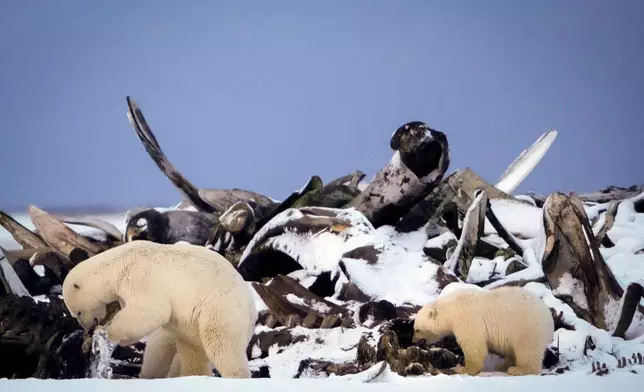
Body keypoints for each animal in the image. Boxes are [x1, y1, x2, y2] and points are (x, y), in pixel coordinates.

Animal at [62, 240, 256, 378]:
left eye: (77, 312)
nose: (88, 329)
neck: (116, 264)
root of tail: (252, 308)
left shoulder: (139, 275)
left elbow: (152, 310)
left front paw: (107, 332)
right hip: (192, 324)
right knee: (192, 350)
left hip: (220, 308)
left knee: (222, 343)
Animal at [412, 284, 552, 376]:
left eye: (417, 330)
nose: (413, 341)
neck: (450, 309)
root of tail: (548, 315)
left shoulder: (467, 317)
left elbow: (473, 345)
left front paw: (463, 369)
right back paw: (502, 365)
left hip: (526, 326)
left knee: (527, 349)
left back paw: (517, 369)